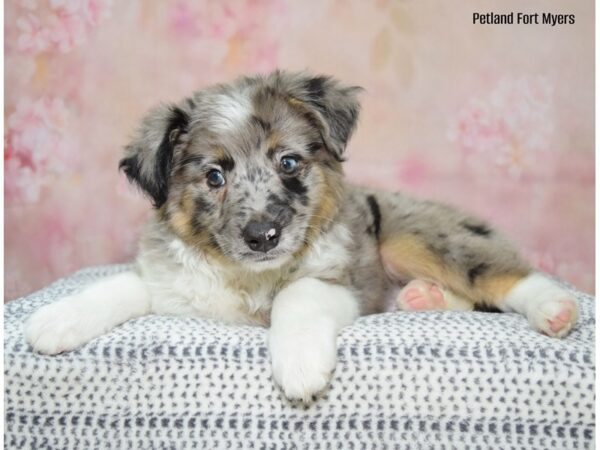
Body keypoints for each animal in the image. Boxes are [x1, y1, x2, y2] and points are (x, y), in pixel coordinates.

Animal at [25, 69, 580, 400]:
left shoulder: (338, 282)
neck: (245, 278)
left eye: (288, 162)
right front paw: (54, 320)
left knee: (497, 272)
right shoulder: (174, 286)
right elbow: (121, 284)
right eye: (214, 177)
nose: (262, 236)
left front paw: (298, 366)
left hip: (411, 235)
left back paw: (552, 307)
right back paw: (422, 299)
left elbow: (297, 296)